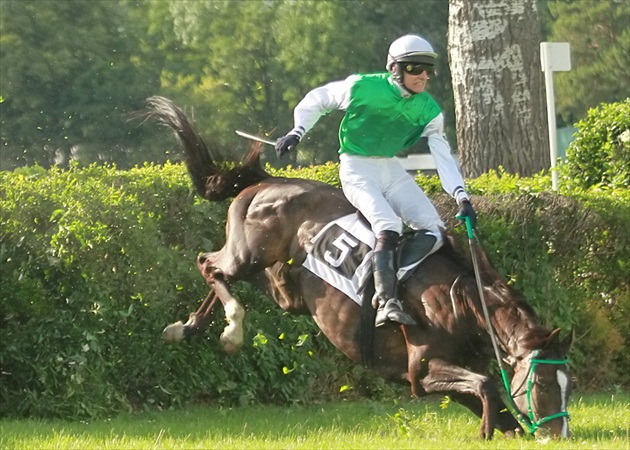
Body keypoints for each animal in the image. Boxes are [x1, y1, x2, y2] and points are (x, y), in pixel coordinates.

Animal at [146, 97, 576, 440]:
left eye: (568, 385)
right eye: (541, 383)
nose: (557, 435)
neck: (461, 302)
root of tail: (266, 180)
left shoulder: (443, 375)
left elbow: (497, 406)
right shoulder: (423, 370)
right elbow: (487, 386)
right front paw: (487, 432)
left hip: (285, 287)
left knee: (233, 279)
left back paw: (186, 327)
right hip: (247, 252)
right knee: (210, 265)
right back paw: (230, 329)